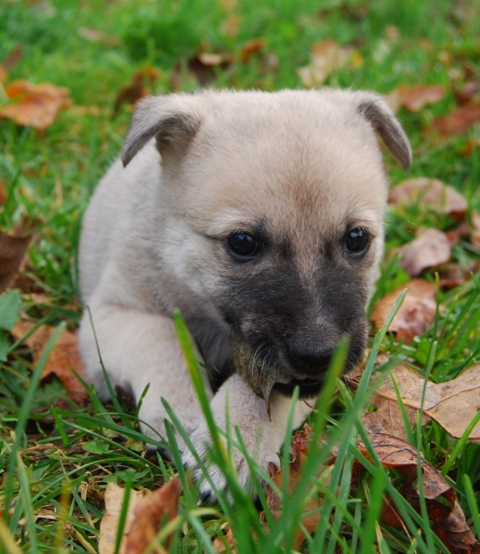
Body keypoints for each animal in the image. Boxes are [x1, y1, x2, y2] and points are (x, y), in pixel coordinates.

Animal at [77, 87, 410, 496]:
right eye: (242, 242)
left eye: (357, 238)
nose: (319, 356)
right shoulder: (114, 314)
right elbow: (163, 343)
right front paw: (185, 415)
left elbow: (266, 392)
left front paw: (232, 441)